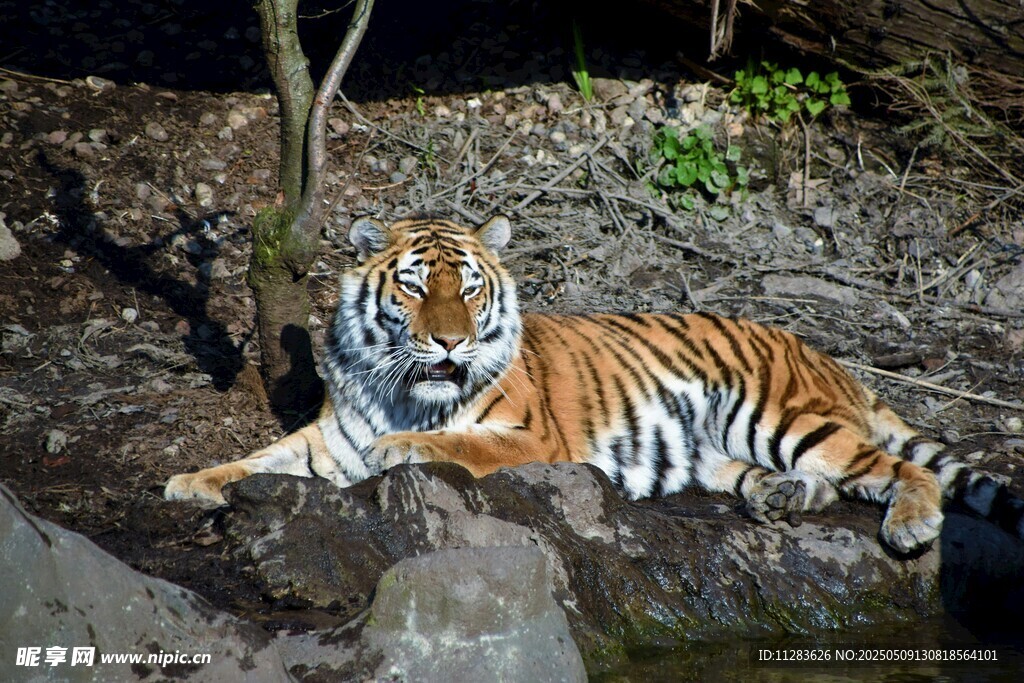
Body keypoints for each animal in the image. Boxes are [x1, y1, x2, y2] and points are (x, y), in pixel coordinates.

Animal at [165, 214, 1024, 553]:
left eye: (467, 288)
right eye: (412, 287)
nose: (450, 338)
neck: (401, 386)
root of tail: (827, 355)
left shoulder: (534, 436)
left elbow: (455, 442)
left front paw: (402, 448)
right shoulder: (328, 437)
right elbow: (261, 459)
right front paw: (189, 482)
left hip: (782, 415)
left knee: (898, 466)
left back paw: (910, 523)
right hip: (726, 449)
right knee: (817, 478)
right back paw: (781, 499)